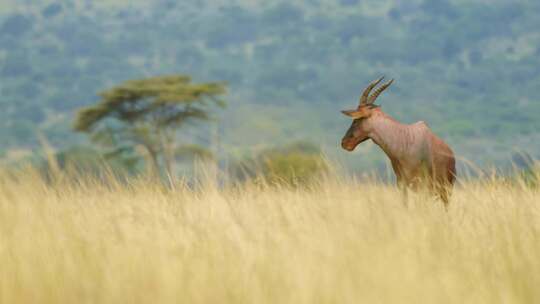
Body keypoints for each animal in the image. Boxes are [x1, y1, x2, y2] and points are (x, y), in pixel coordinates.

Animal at [342, 77, 456, 208]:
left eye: (357, 119)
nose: (344, 143)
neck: (405, 140)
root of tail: (451, 155)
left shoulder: (421, 186)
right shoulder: (402, 184)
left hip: (445, 190)